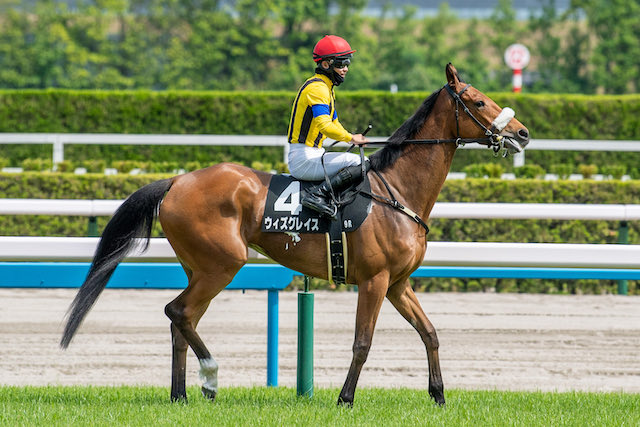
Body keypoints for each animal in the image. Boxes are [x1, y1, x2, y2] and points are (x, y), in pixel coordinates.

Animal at [60, 63, 528, 408]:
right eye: (479, 101)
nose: (521, 132)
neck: (396, 192)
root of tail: (177, 180)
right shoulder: (374, 281)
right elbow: (363, 341)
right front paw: (345, 399)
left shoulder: (398, 283)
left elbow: (429, 332)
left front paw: (439, 395)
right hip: (223, 264)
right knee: (178, 312)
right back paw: (210, 378)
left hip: (200, 267)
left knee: (182, 319)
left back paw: (181, 394)